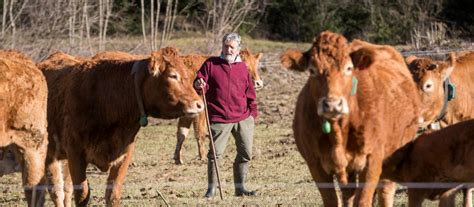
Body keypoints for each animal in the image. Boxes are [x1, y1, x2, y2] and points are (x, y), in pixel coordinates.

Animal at [38, 47, 203, 206]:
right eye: (173, 75)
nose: (199, 104)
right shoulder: (75, 155)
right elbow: (82, 195)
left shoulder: (124, 154)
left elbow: (112, 195)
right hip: (49, 154)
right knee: (57, 191)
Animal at [280, 31, 420, 206]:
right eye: (312, 70)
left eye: (348, 68)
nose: (332, 104)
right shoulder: (315, 165)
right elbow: (332, 201)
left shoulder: (372, 160)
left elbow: (363, 201)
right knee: (349, 194)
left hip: (394, 154)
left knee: (385, 191)